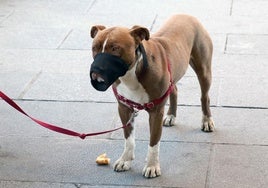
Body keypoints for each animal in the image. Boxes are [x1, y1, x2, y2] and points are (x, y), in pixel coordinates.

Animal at [89, 14, 215, 178]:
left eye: (115, 48)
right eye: (94, 48)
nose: (96, 72)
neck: (131, 74)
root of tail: (187, 15)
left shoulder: (156, 112)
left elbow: (154, 142)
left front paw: (152, 166)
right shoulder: (124, 108)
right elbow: (129, 139)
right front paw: (125, 160)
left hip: (204, 70)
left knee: (204, 96)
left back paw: (207, 120)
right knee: (174, 89)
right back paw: (171, 116)